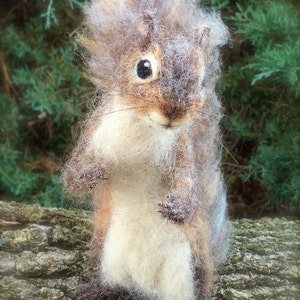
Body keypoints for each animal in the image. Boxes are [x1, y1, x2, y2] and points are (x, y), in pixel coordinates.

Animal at [63, 1, 231, 298]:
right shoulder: (92, 135)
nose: (174, 112)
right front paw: (93, 172)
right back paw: (100, 289)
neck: (144, 127)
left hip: (183, 265)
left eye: (202, 81)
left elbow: (188, 181)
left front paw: (179, 207)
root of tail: (145, 285)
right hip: (111, 254)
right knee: (118, 283)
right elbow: (72, 178)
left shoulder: (182, 149)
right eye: (143, 68)